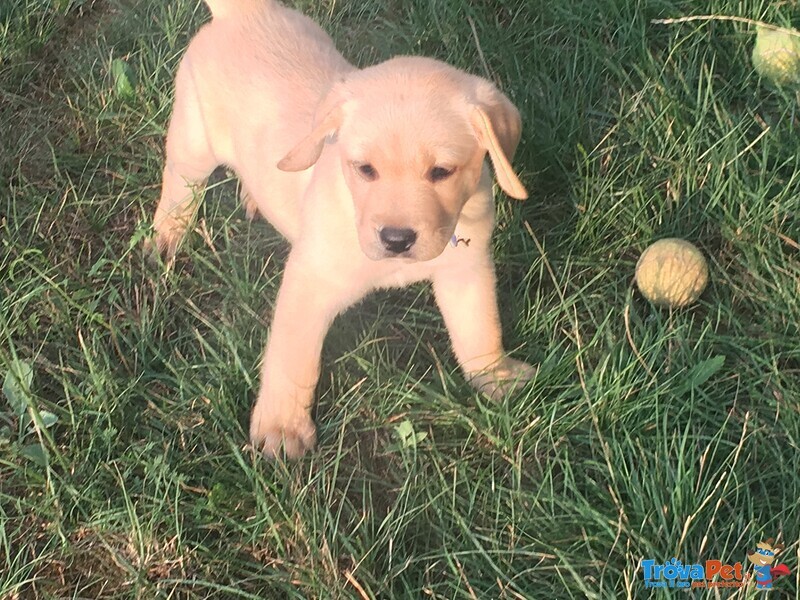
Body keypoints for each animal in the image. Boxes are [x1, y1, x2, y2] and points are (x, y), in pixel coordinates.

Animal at [152, 0, 536, 458]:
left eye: (442, 172)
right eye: (365, 169)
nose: (396, 240)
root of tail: (245, 12)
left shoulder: (466, 270)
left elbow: (480, 328)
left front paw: (497, 376)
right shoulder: (310, 283)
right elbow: (292, 359)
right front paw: (283, 428)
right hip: (194, 142)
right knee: (178, 185)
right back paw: (166, 237)